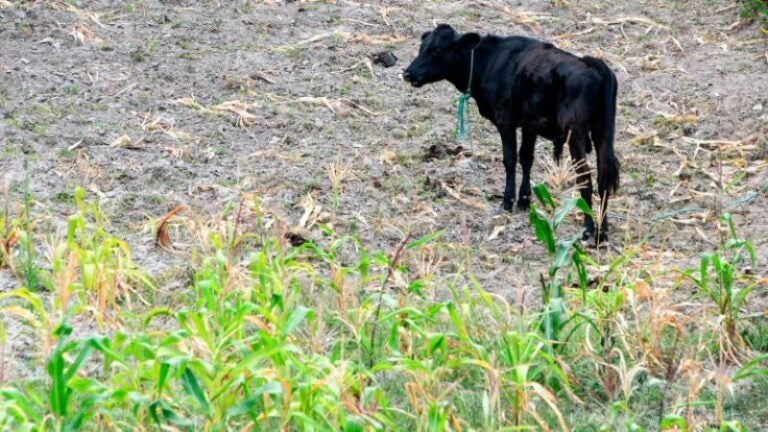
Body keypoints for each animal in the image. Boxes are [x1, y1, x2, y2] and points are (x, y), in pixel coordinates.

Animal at [402, 23, 616, 243]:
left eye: (437, 50)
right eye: (421, 47)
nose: (408, 73)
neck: (490, 62)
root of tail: (591, 64)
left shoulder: (505, 120)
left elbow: (510, 159)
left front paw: (507, 201)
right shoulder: (530, 124)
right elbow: (526, 158)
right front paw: (524, 200)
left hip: (576, 133)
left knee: (585, 177)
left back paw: (588, 229)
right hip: (602, 132)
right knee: (604, 177)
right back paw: (602, 232)